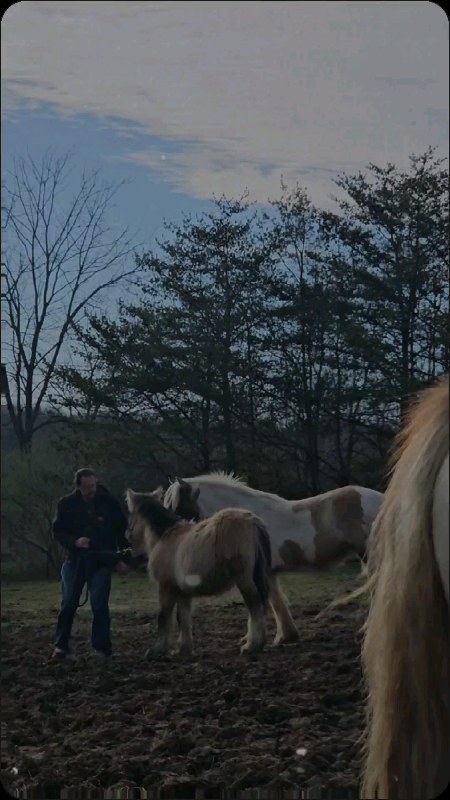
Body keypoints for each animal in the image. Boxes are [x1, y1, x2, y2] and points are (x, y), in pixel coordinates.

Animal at [125, 488, 272, 657]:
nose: (127, 534)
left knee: (254, 605)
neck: (165, 536)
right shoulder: (182, 592)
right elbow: (183, 618)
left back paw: (252, 645)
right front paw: (184, 649)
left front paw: (157, 650)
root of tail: (252, 521)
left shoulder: (165, 586)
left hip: (244, 579)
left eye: (130, 513)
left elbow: (163, 616)